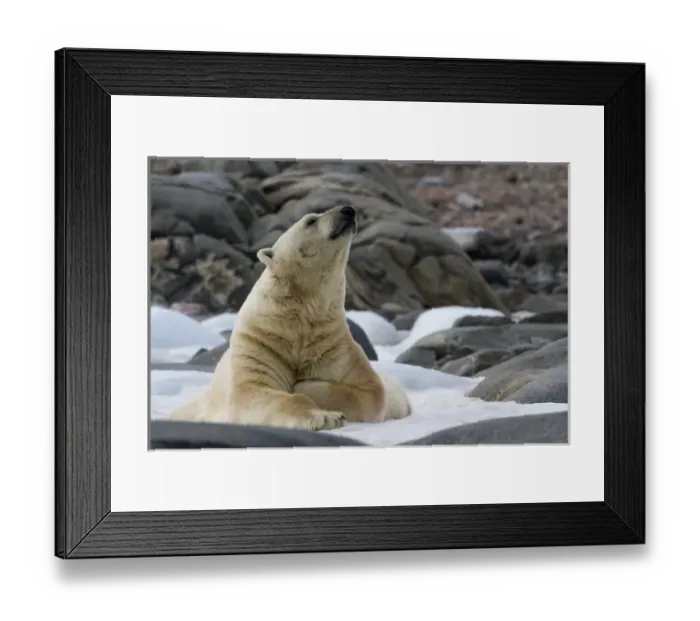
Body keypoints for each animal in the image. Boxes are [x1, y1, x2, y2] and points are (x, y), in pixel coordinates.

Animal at [169, 203, 412, 431]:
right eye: (311, 220)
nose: (348, 210)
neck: (298, 318)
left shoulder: (332, 346)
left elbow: (371, 390)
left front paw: (305, 385)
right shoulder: (260, 344)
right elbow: (254, 391)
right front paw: (324, 417)